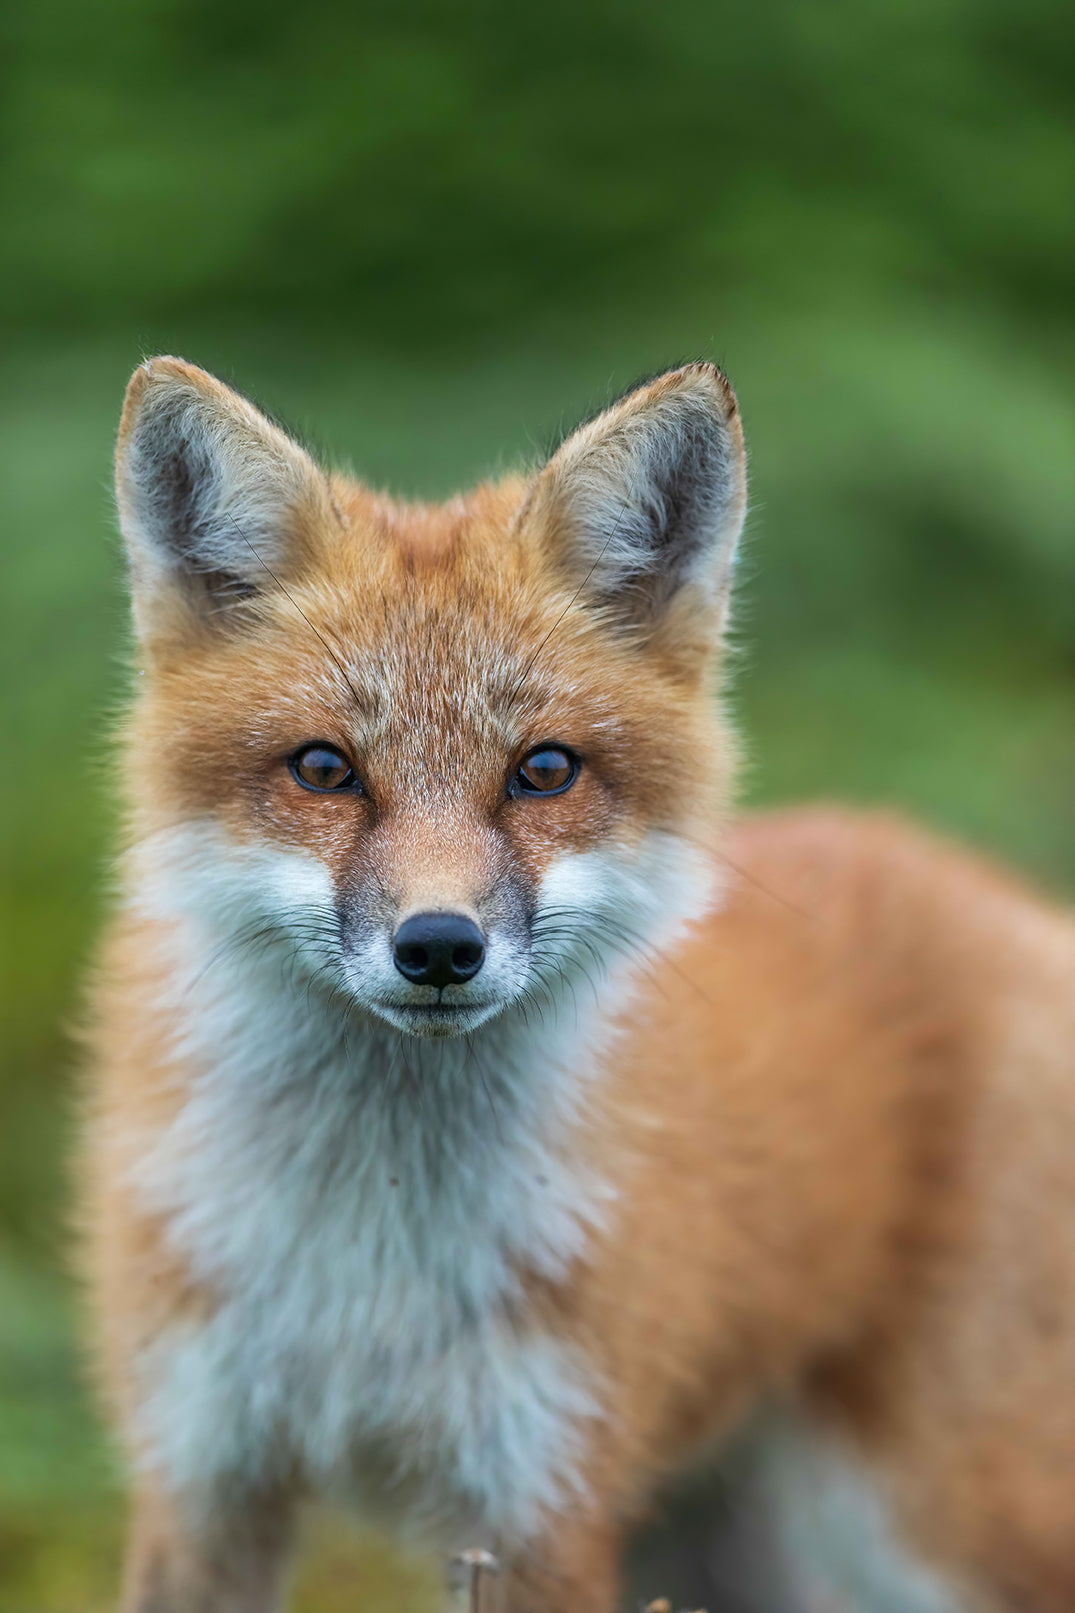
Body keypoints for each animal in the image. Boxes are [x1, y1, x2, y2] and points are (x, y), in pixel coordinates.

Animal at [85, 356, 1075, 1613]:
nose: (439, 944)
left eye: (543, 770)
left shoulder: (543, 1500)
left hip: (929, 1520)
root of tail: (985, 882)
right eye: (323, 768)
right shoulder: (202, 1476)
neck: (373, 1250)